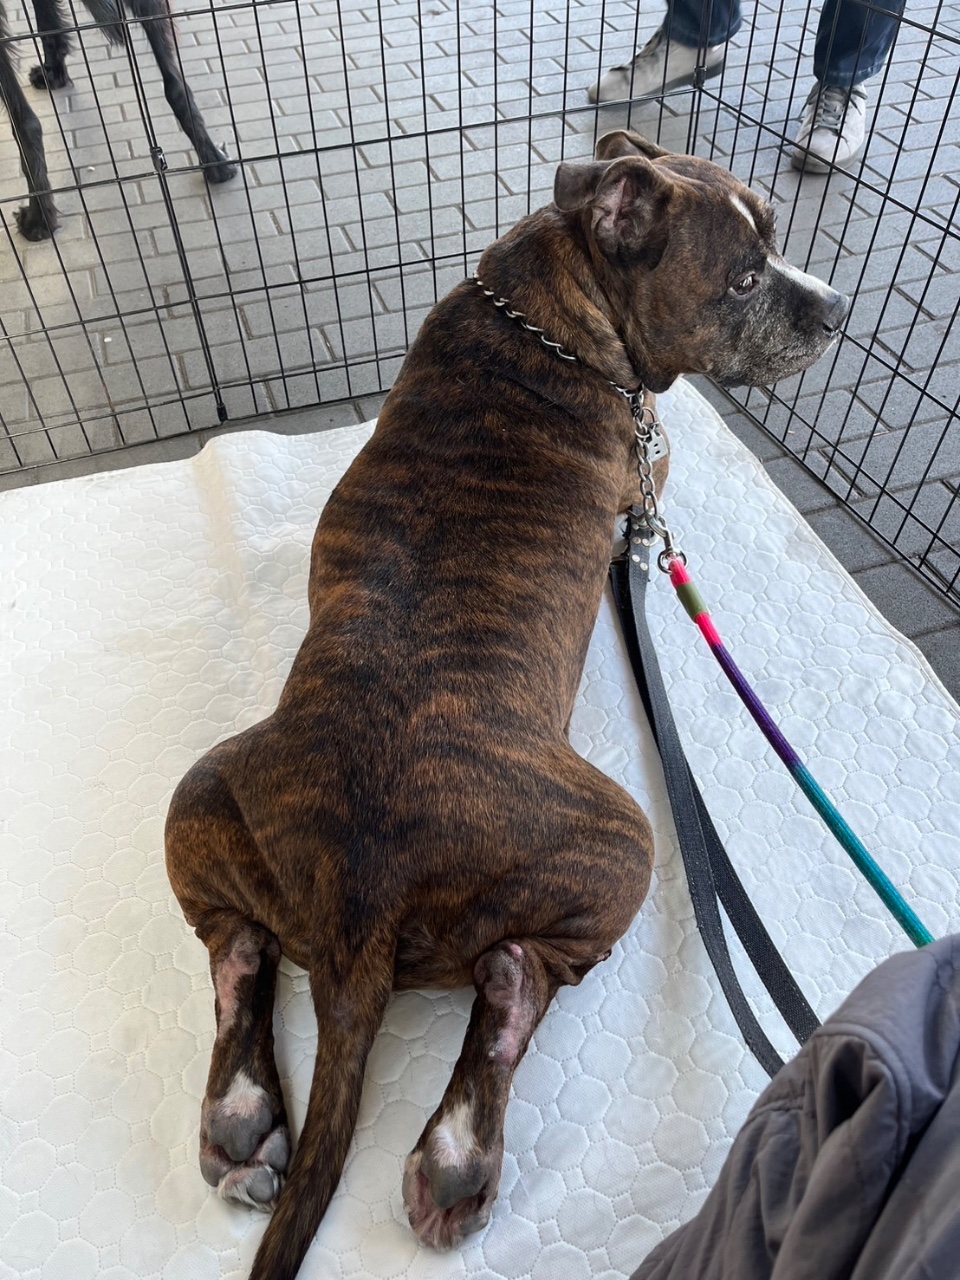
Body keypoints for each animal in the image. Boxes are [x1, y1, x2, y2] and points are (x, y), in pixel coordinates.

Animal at [164, 129, 849, 1280]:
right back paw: (455, 1154)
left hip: (202, 794)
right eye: (747, 279)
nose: (836, 306)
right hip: (622, 840)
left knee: (237, 944)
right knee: (517, 981)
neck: (552, 309)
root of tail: (359, 899)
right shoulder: (648, 471)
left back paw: (243, 1118)